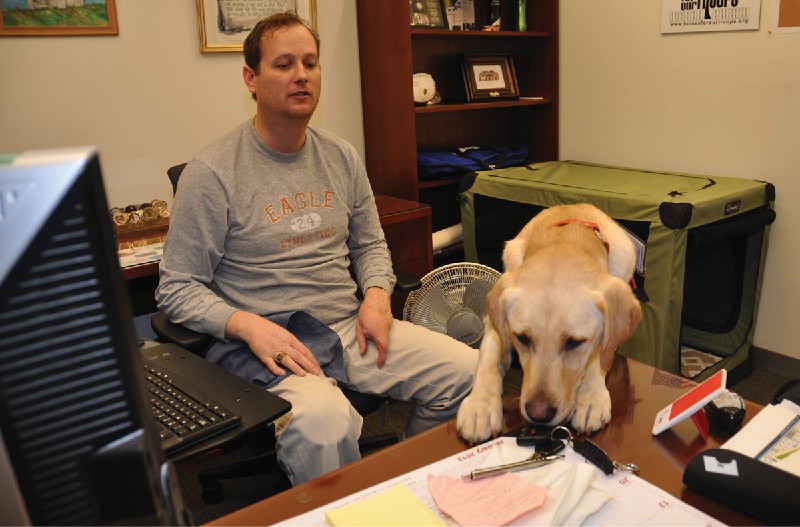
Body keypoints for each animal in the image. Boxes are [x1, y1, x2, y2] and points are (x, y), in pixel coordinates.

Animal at [460, 204, 640, 444]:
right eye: (522, 338)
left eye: (575, 342)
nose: (539, 414)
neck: (565, 239)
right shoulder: (494, 325)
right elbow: (488, 360)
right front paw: (479, 407)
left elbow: (598, 358)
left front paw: (591, 397)